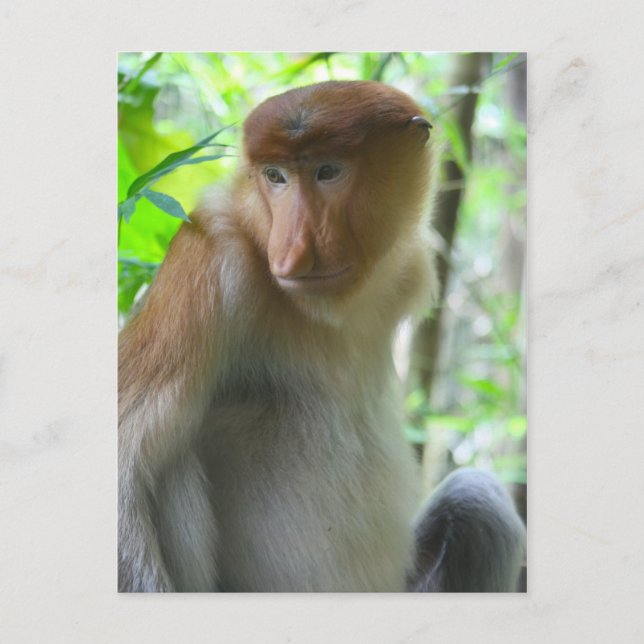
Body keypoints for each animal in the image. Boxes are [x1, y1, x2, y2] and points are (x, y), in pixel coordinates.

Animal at [118, 80, 525, 592]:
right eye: (275, 176)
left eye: (328, 171)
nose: (293, 251)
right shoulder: (208, 258)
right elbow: (125, 463)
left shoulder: (412, 263)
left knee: (479, 500)